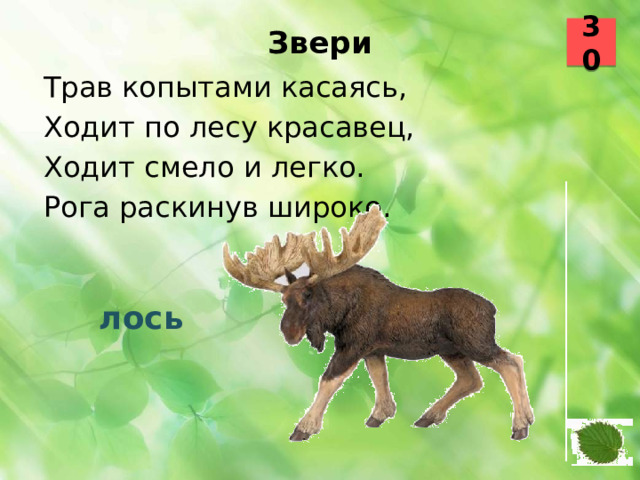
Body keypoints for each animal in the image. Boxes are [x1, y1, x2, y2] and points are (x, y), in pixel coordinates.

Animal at [222, 205, 534, 442]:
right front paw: (380, 415)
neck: (339, 312)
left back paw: (521, 425)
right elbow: (379, 379)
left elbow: (328, 381)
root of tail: (492, 308)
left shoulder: (352, 346)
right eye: (285, 299)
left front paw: (304, 428)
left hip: (476, 343)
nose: (289, 332)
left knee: (512, 362)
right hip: (452, 350)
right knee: (472, 378)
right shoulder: (372, 350)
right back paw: (431, 415)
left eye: (308, 295)